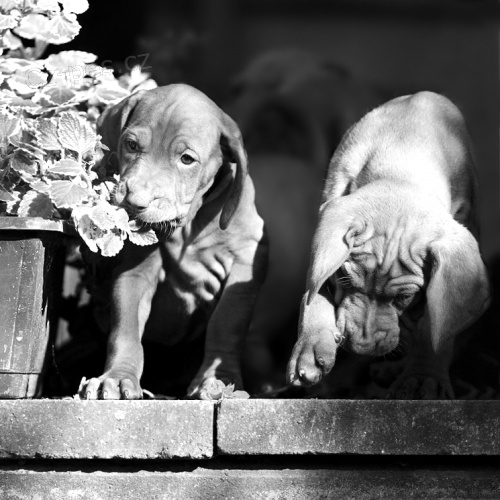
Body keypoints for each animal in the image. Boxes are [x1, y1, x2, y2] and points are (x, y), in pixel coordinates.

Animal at [80, 84, 267, 400]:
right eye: (131, 145)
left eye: (187, 159)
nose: (134, 203)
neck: (188, 224)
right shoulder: (136, 270)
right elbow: (125, 329)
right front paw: (117, 378)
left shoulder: (246, 259)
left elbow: (226, 322)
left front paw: (218, 380)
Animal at [287, 91, 490, 399]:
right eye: (344, 280)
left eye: (404, 297)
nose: (360, 347)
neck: (403, 160)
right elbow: (316, 290)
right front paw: (311, 347)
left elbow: (435, 325)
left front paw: (423, 376)